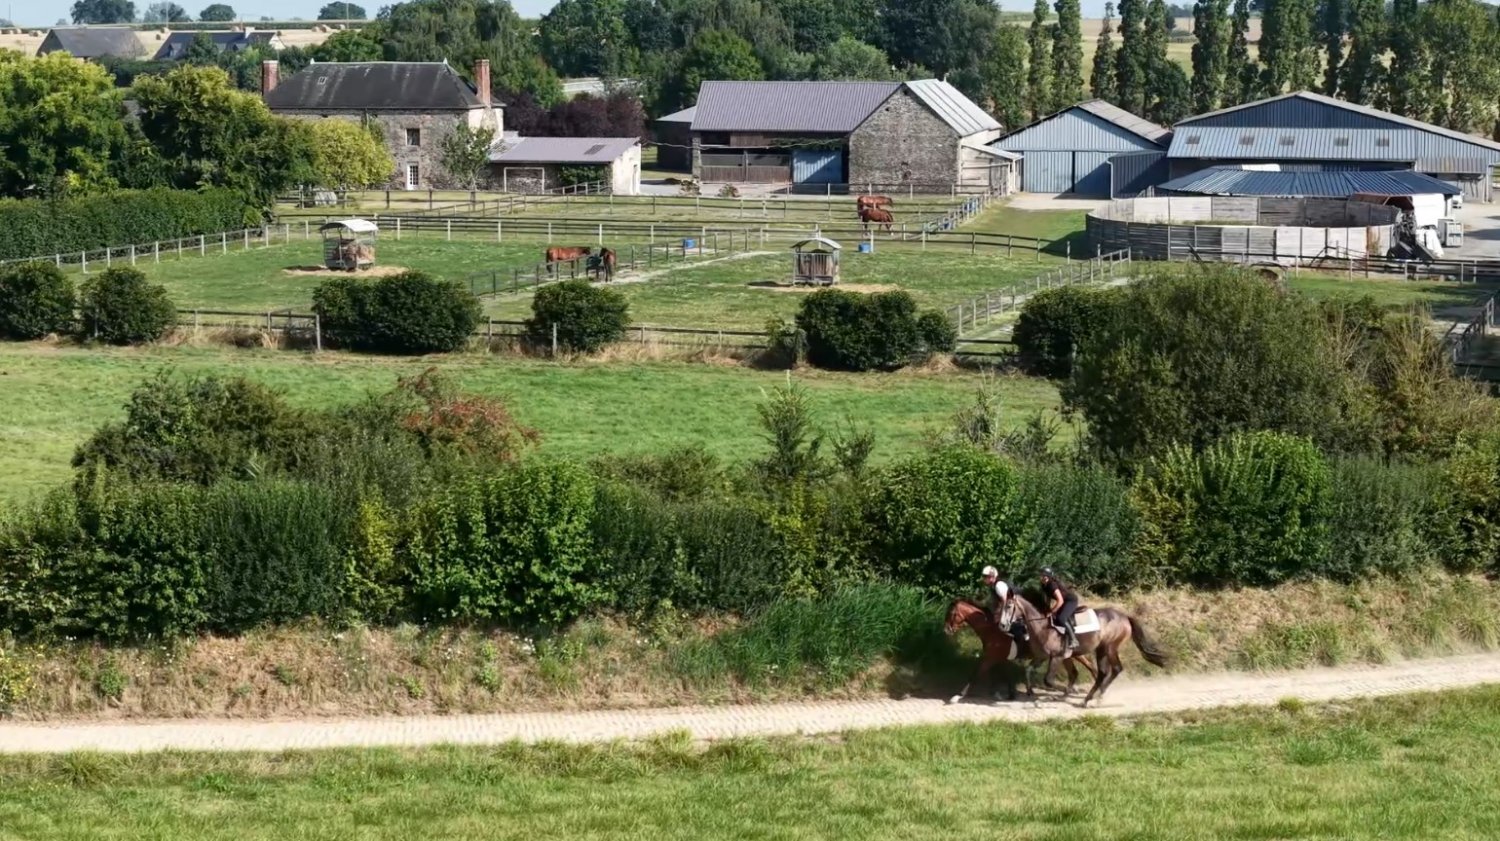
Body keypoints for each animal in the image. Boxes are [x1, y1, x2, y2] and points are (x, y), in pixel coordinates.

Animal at [998, 592, 1169, 707]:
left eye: (1009, 606)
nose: (1002, 625)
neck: (1042, 627)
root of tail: (1125, 617)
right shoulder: (1043, 657)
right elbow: (1028, 670)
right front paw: (1030, 691)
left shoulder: (1057, 657)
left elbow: (1049, 680)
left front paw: (1062, 693)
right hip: (1101, 650)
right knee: (1102, 672)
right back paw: (1092, 697)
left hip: (1109, 647)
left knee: (1114, 669)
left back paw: (1094, 696)